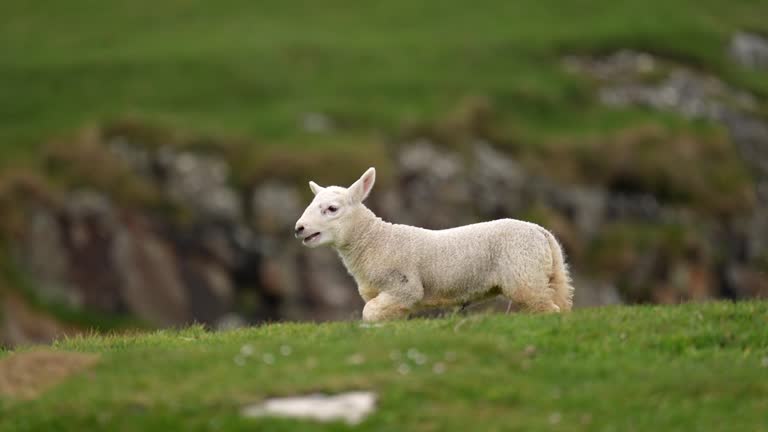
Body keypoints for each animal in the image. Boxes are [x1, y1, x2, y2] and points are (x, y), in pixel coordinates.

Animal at [296, 167, 576, 322]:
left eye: (332, 208)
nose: (299, 228)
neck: (374, 241)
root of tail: (542, 233)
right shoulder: (392, 298)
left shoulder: (404, 287)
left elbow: (369, 313)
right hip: (546, 276)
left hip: (524, 275)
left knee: (548, 309)